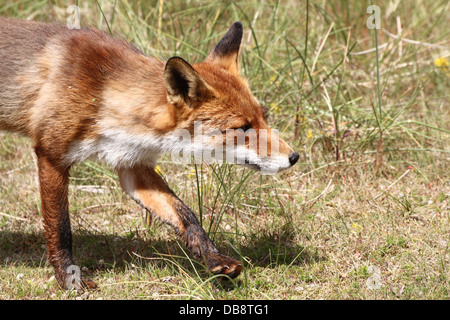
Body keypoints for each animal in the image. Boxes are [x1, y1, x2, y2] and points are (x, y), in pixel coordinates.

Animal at [0, 18, 298, 290]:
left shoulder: (133, 166)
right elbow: (61, 228)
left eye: (263, 117)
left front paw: (214, 260)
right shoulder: (51, 155)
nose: (294, 157)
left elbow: (186, 216)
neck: (102, 93)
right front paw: (69, 279)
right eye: (242, 128)